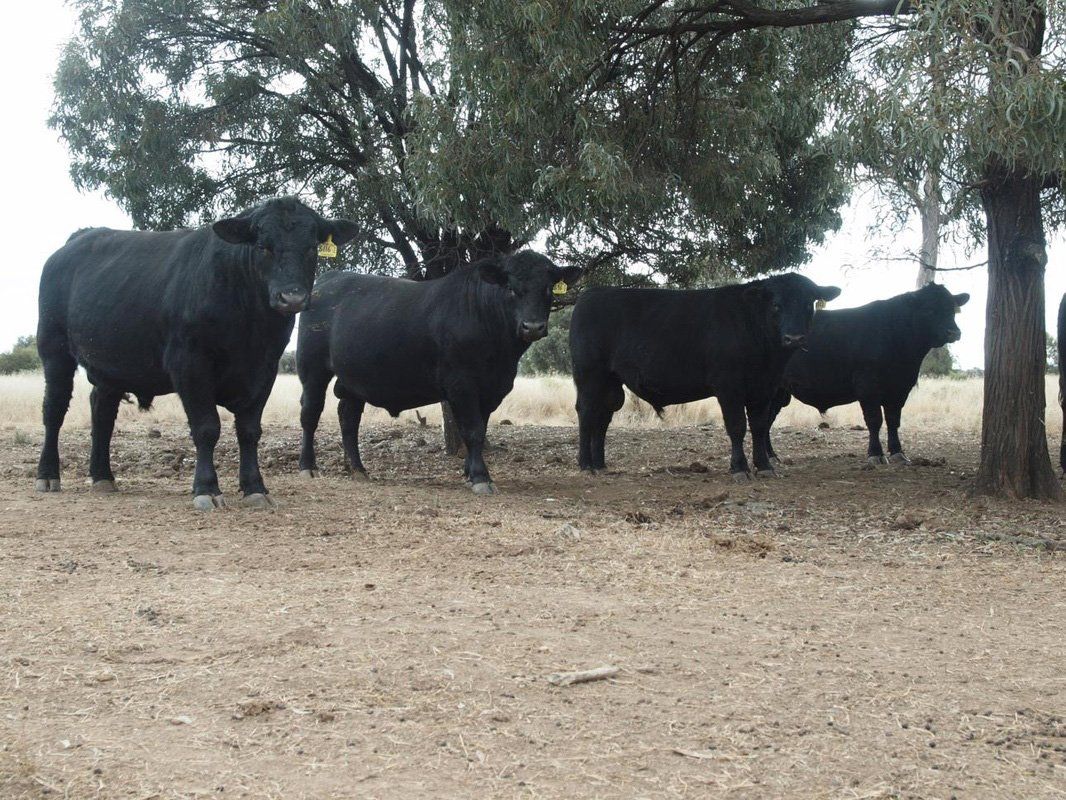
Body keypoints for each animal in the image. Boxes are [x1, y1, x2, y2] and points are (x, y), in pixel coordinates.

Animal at [35, 197, 358, 510]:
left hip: (110, 365)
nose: (292, 297)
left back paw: (102, 476)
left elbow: (249, 430)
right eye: (263, 246)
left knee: (102, 412)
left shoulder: (265, 369)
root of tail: (76, 241)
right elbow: (206, 428)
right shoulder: (190, 364)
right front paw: (207, 489)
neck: (248, 325)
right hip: (54, 350)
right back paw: (48, 475)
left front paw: (255, 488)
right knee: (54, 410)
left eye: (311, 247)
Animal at [296, 251, 582, 494]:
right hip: (312, 369)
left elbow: (480, 429)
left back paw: (357, 468)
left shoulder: (492, 388)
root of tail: (328, 279)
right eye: (511, 288)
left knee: (348, 417)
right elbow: (473, 430)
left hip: (354, 379)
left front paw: (469, 471)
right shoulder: (461, 384)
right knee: (311, 413)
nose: (532, 326)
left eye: (548, 288)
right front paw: (481, 477)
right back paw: (308, 467)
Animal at [569, 273, 841, 480]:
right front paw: (739, 468)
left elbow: (759, 426)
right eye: (776, 305)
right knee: (586, 413)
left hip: (610, 381)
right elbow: (737, 426)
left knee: (603, 416)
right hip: (589, 375)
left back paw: (600, 463)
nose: (794, 338)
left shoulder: (764, 387)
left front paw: (764, 466)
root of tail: (590, 294)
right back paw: (585, 464)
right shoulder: (729, 386)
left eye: (809, 304)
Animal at [765, 283, 970, 467]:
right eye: (929, 310)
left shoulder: (900, 388)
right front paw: (875, 454)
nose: (954, 332)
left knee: (766, 420)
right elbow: (874, 420)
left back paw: (772, 457)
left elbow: (893, 420)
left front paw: (898, 453)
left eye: (952, 309)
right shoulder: (868, 386)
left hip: (779, 393)